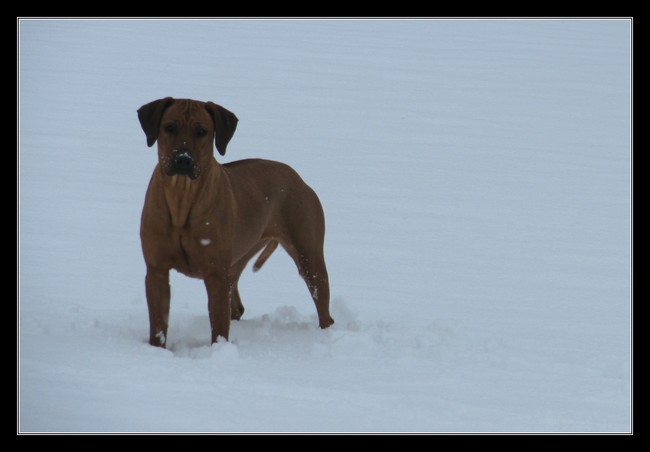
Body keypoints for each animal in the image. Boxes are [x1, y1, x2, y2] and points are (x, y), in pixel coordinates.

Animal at [135, 98, 332, 346]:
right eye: (169, 127)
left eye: (202, 131)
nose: (183, 159)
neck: (182, 198)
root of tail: (298, 178)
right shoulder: (156, 270)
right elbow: (159, 326)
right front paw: (157, 349)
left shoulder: (215, 274)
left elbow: (219, 326)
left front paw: (218, 350)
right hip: (238, 258)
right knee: (236, 307)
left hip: (309, 257)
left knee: (323, 306)